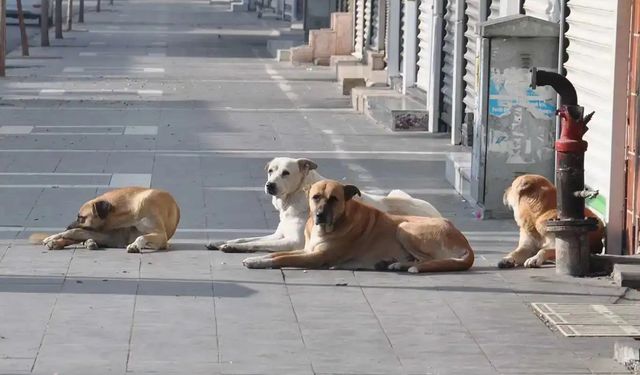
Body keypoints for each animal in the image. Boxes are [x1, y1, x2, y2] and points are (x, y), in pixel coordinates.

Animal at [29, 187, 180, 254]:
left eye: (81, 217)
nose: (66, 226)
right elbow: (73, 232)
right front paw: (54, 236)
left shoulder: (161, 237)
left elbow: (142, 236)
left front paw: (135, 245)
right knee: (76, 235)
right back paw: (56, 241)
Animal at [208, 157, 442, 254]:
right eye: (270, 171)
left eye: (286, 173)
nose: (269, 185)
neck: (294, 200)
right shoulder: (278, 235)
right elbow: (246, 238)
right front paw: (222, 241)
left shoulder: (293, 242)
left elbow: (254, 244)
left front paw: (231, 247)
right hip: (396, 192)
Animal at [242, 180, 472, 274]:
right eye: (315, 197)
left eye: (334, 199)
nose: (319, 215)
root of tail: (465, 242)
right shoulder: (307, 250)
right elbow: (275, 255)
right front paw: (258, 258)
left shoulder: (316, 257)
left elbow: (281, 258)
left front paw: (256, 262)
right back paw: (394, 264)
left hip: (405, 227)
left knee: (430, 260)